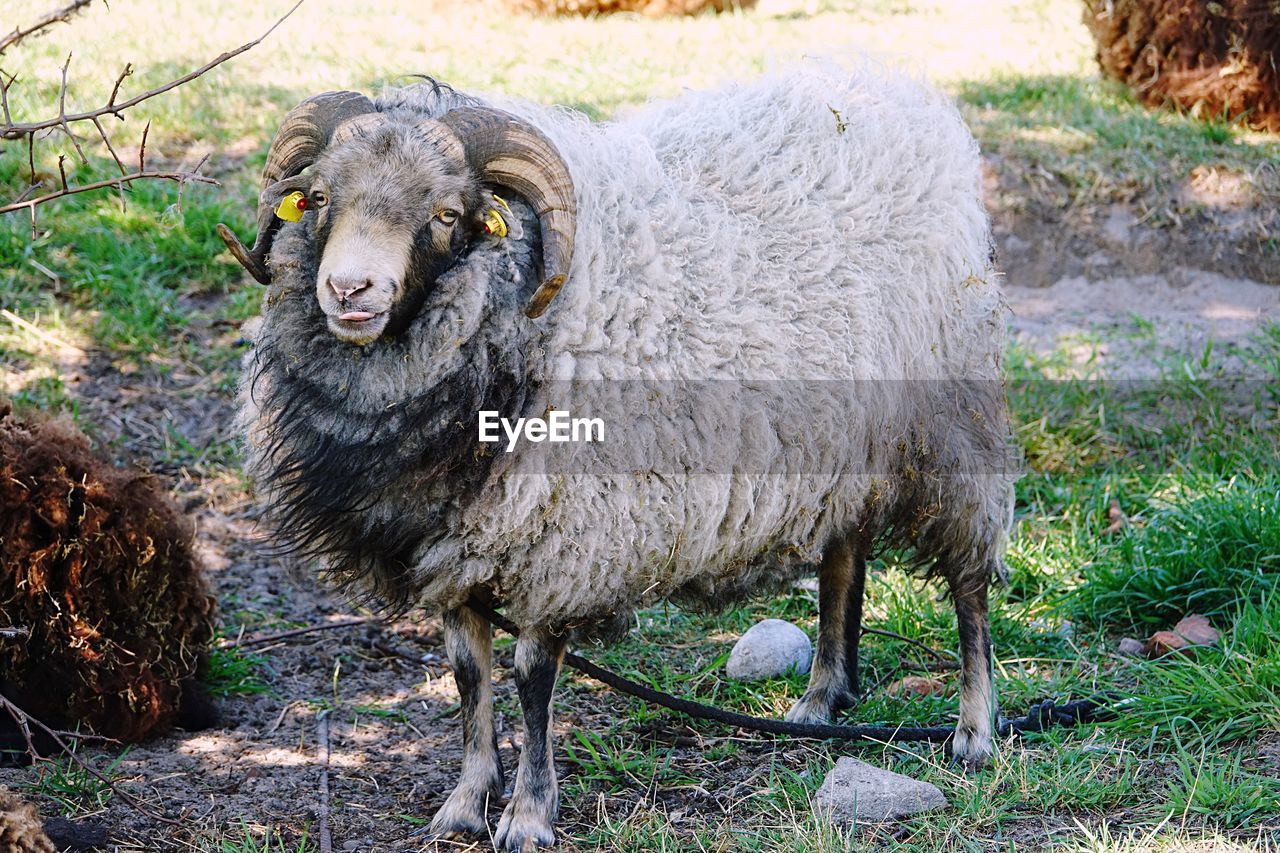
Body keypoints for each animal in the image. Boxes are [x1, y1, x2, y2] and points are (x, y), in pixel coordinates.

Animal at [222, 63, 1018, 845]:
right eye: (320, 197)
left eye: (446, 213)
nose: (349, 290)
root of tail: (896, 89)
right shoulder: (447, 543)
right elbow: (468, 675)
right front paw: (466, 802)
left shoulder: (562, 543)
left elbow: (531, 676)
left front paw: (528, 815)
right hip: (849, 433)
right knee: (845, 556)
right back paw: (822, 699)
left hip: (951, 422)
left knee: (968, 581)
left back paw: (974, 731)